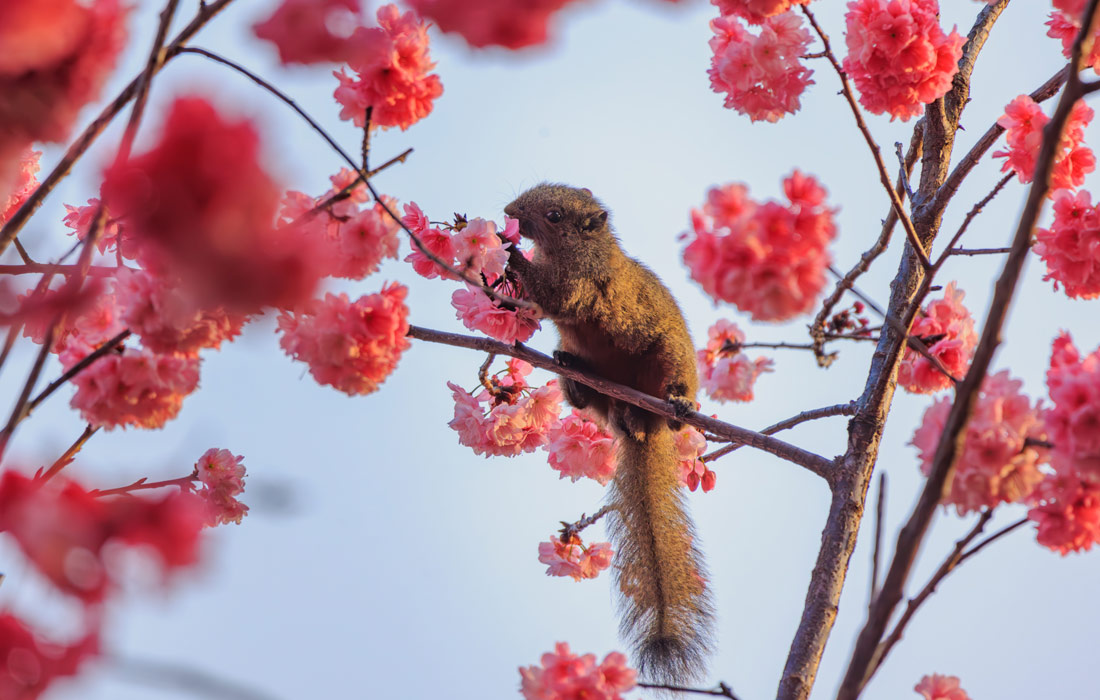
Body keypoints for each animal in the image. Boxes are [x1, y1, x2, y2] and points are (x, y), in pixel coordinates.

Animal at [504, 183, 714, 683]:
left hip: (669, 359)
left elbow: (554, 294)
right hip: (600, 389)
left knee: (674, 392)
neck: (585, 250)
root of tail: (639, 423)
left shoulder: (581, 282)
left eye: (554, 215)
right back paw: (574, 375)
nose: (508, 213)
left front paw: (511, 256)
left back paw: (679, 406)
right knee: (587, 400)